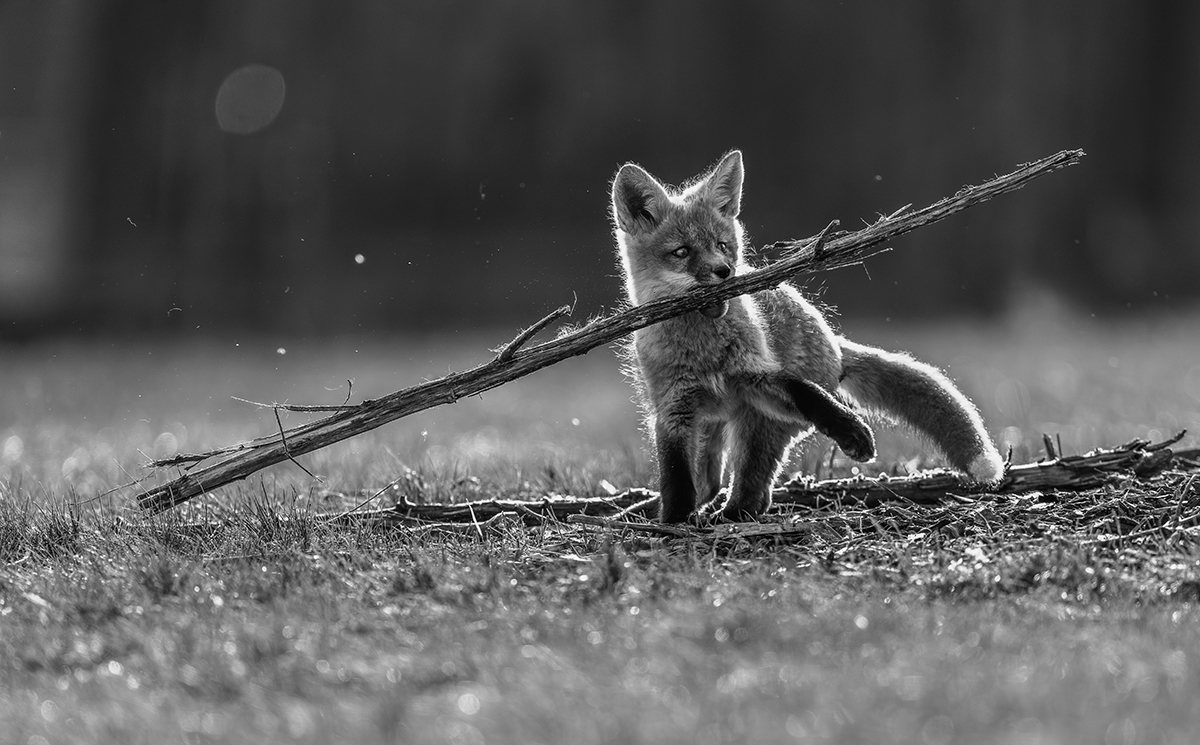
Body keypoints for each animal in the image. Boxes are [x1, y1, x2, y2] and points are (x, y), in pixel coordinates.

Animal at [611, 150, 1005, 523]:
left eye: (722, 245)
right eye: (682, 252)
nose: (725, 272)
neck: (704, 350)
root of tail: (834, 345)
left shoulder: (756, 376)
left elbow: (806, 393)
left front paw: (851, 430)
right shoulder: (673, 410)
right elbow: (676, 477)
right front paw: (674, 521)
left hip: (757, 424)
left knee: (751, 490)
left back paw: (731, 514)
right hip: (713, 427)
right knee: (710, 483)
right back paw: (658, 511)